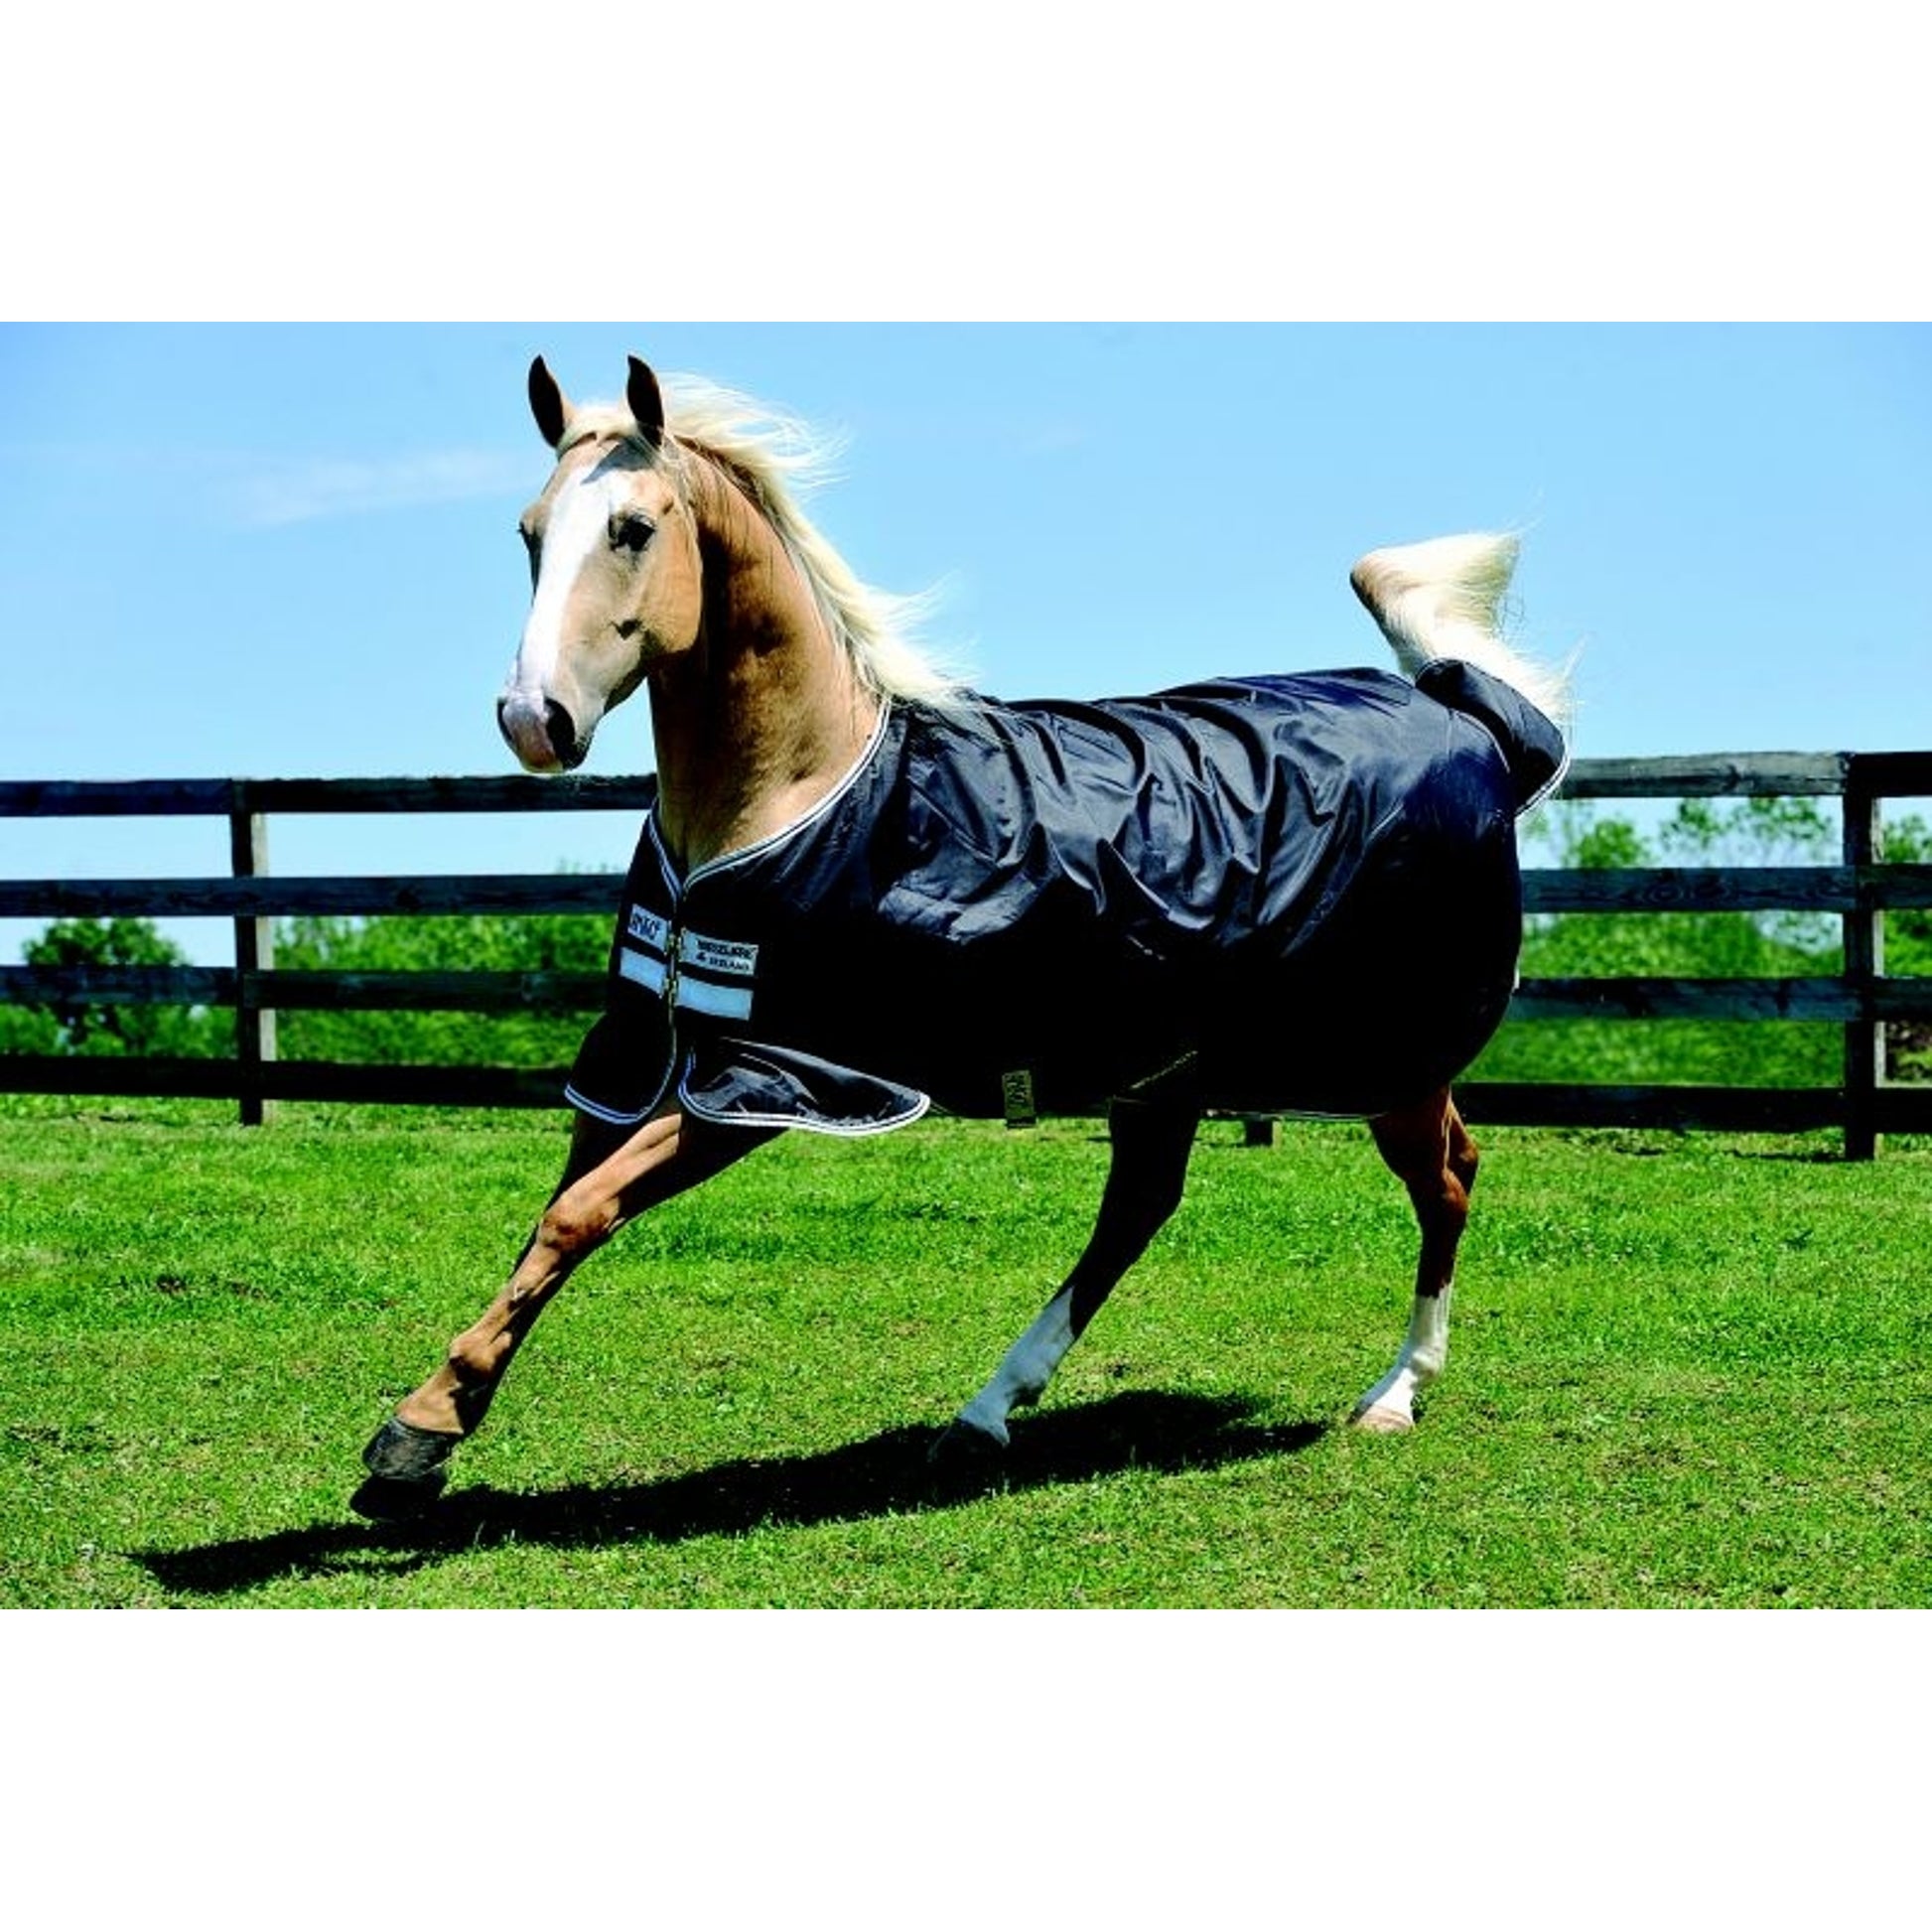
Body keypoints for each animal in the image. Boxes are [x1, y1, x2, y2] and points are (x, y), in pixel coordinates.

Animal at [352, 352, 1570, 1522]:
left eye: (632, 527)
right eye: (527, 531)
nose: (535, 720)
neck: (797, 797)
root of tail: (1471, 721)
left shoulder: (777, 1076)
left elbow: (577, 1216)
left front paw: (414, 1434)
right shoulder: (642, 1057)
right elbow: (553, 1221)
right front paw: (423, 1442)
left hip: (1387, 1057)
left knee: (1446, 1178)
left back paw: (1393, 1393)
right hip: (1164, 1068)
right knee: (1139, 1210)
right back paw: (986, 1413)